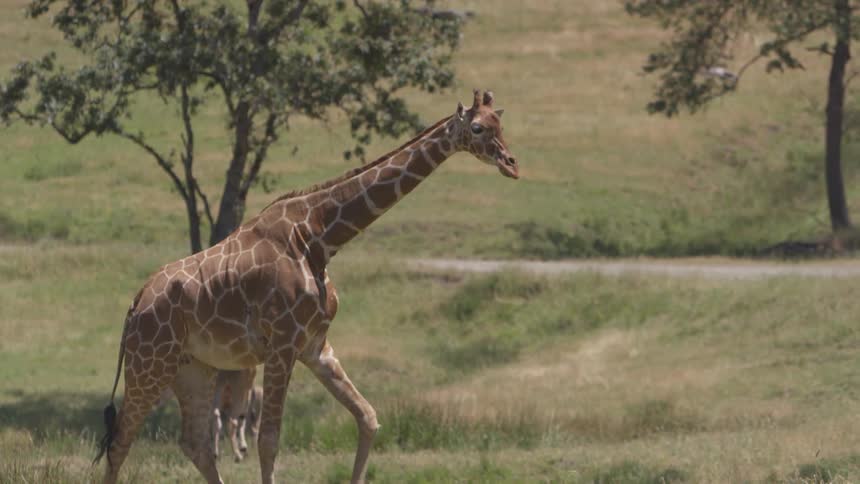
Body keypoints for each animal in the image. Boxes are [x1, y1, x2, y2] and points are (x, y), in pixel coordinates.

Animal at [93, 90, 518, 484]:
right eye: (477, 128)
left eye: (500, 124)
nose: (511, 164)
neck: (319, 237)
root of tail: (133, 306)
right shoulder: (281, 345)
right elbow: (268, 441)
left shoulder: (315, 346)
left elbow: (368, 417)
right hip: (150, 364)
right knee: (120, 441)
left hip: (194, 367)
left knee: (194, 442)